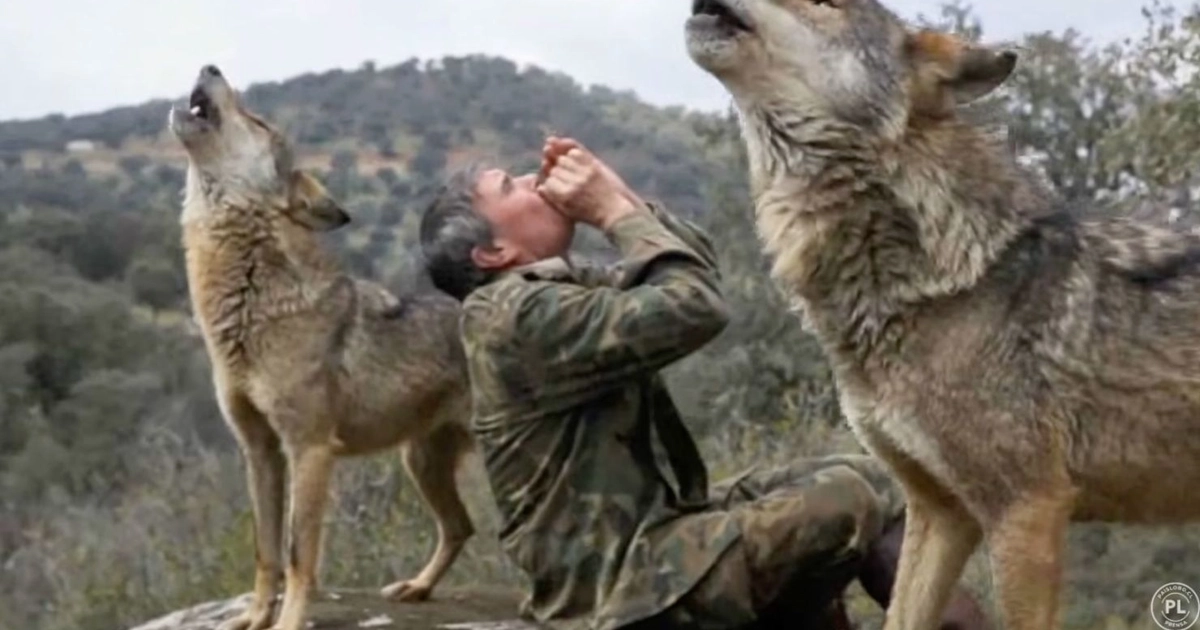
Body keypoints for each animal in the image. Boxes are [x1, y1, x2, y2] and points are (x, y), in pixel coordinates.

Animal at [168, 65, 477, 630]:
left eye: (259, 122)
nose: (211, 67)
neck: (250, 304)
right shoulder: (260, 451)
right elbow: (265, 551)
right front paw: (254, 618)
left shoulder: (309, 450)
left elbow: (297, 555)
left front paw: (288, 622)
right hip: (420, 463)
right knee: (461, 527)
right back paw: (417, 588)